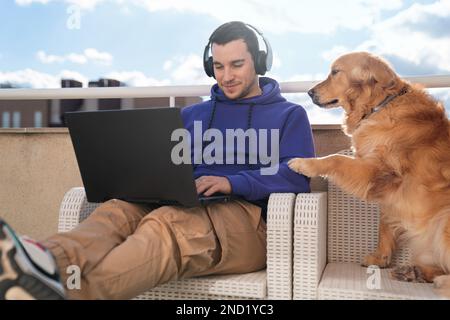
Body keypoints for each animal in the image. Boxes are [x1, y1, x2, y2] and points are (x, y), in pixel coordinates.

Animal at [288, 50, 450, 298]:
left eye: (335, 72)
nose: (309, 92)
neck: (380, 106)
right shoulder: (388, 191)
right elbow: (384, 224)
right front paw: (380, 258)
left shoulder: (380, 172)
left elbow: (336, 159)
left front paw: (305, 163)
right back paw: (413, 272)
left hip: (444, 220)